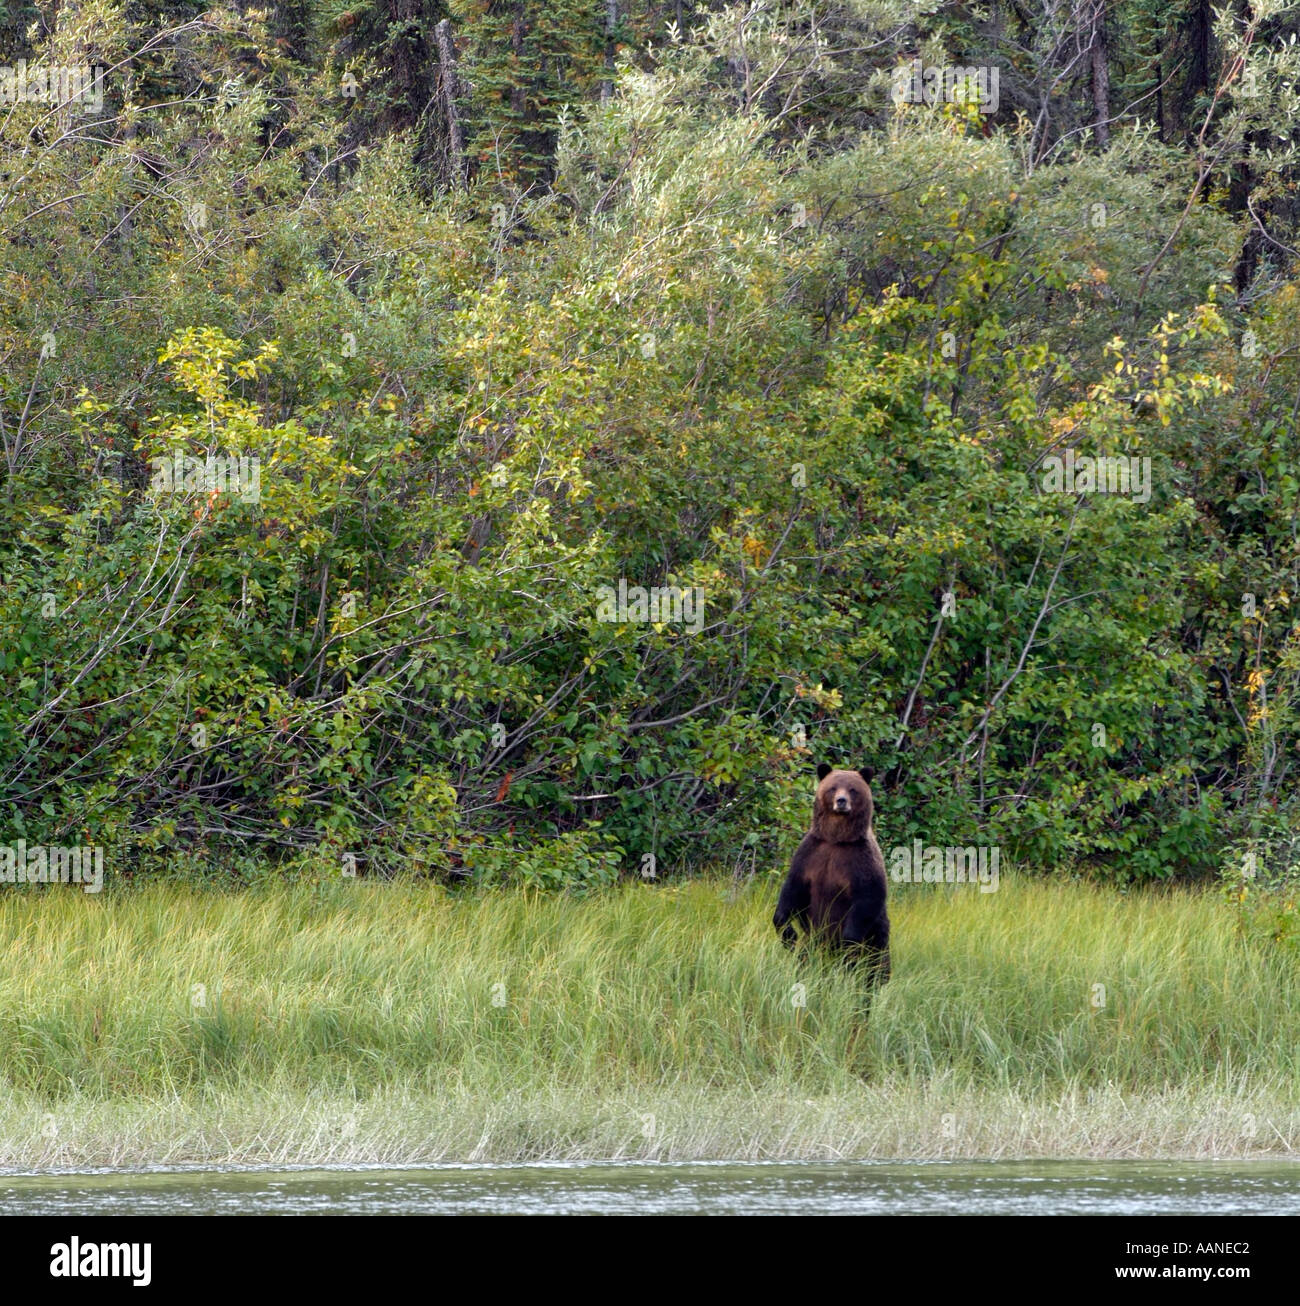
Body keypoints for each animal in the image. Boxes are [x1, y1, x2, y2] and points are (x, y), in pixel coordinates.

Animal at [773, 763, 890, 982]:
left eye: (852, 789)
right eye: (833, 787)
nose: (841, 801)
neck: (837, 840)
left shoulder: (861, 860)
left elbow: (868, 896)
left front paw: (847, 942)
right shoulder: (811, 854)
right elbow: (792, 891)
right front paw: (789, 935)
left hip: (877, 936)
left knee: (875, 965)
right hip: (812, 943)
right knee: (806, 958)